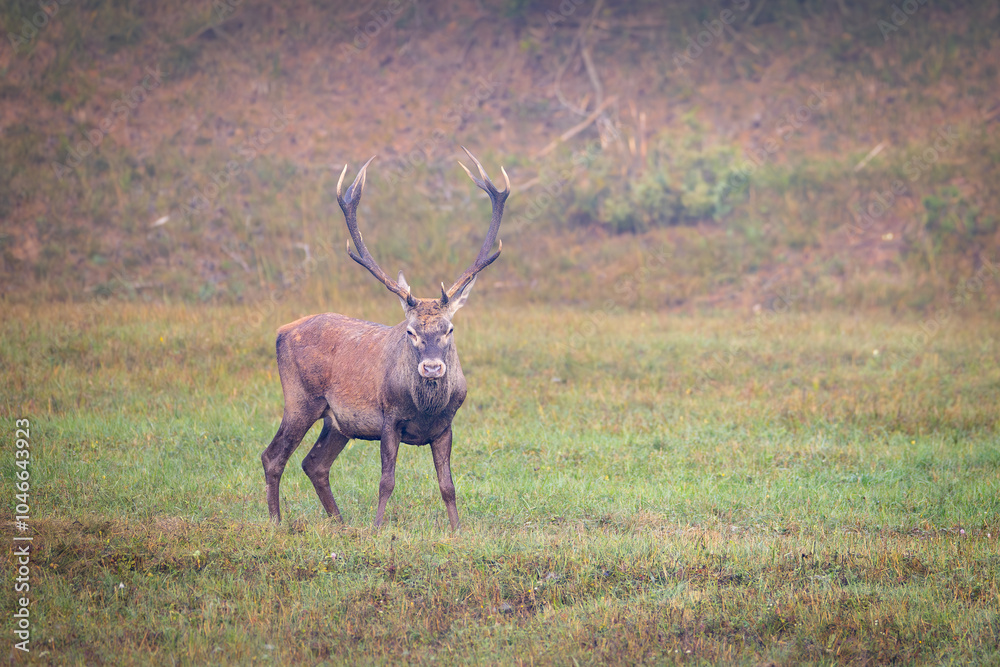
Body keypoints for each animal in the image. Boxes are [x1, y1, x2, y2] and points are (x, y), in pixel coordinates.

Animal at [260, 147, 510, 531]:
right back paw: (276, 522)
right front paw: (377, 528)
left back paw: (340, 522)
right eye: (410, 331)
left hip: (338, 421)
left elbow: (448, 485)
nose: (432, 368)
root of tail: (281, 330)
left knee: (314, 463)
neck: (425, 407)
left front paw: (457, 530)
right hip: (300, 399)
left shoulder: (446, 425)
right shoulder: (388, 418)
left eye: (449, 329)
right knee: (273, 456)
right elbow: (386, 480)